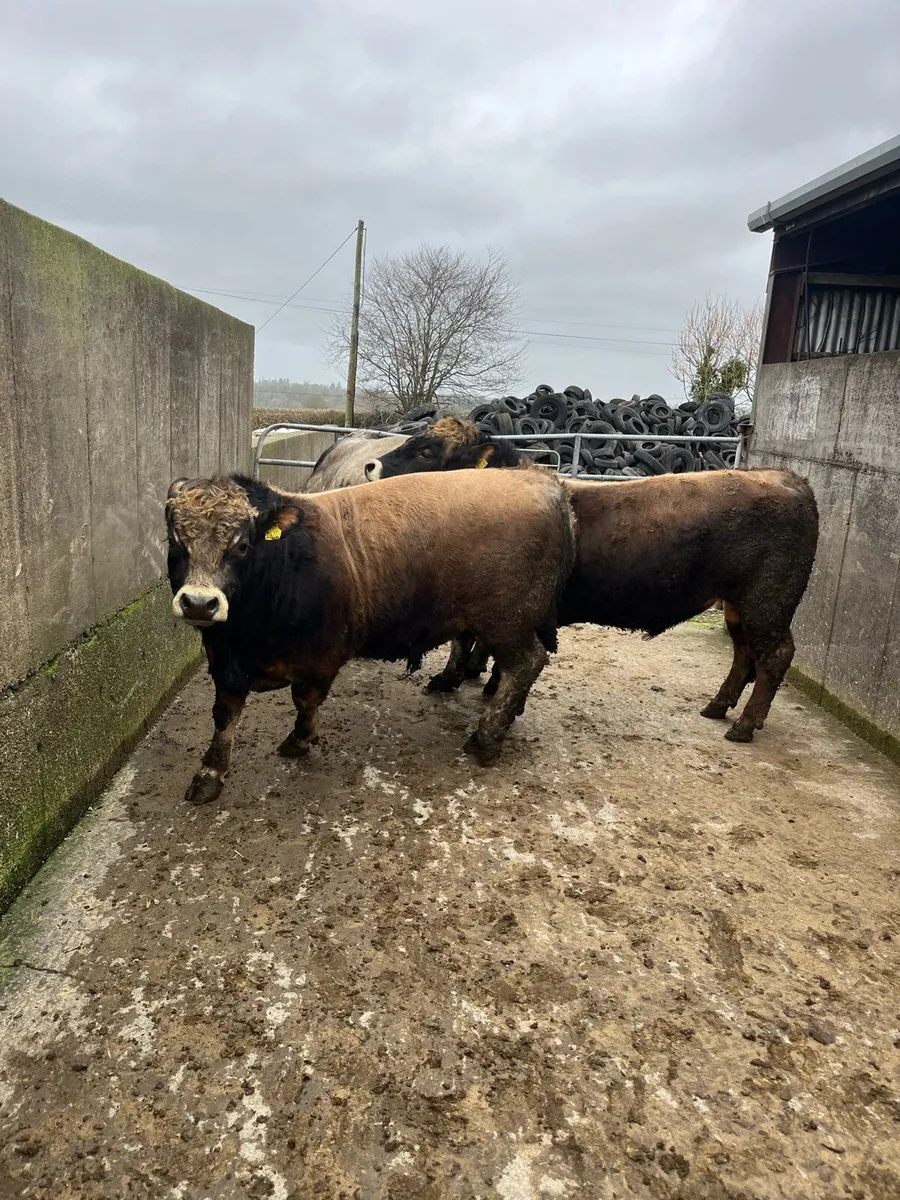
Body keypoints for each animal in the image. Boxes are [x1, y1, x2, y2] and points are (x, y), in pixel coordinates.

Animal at [165, 468, 576, 804]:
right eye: (176, 543)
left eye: (241, 545)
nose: (199, 603)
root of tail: (544, 482)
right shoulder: (225, 663)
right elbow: (225, 715)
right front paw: (210, 773)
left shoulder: (321, 659)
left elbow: (305, 701)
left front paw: (299, 740)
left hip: (507, 623)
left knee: (525, 665)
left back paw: (486, 738)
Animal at [370, 421, 819, 744]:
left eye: (427, 450)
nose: (372, 467)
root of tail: (787, 477)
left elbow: (468, 642)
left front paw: (459, 682)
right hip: (738, 605)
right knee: (744, 653)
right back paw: (717, 707)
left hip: (767, 601)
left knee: (774, 655)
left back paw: (743, 725)